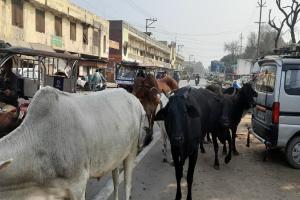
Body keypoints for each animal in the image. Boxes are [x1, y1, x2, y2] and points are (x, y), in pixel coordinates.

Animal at [0, 87, 145, 200]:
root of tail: (134, 99)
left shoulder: (78, 186)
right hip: (116, 157)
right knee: (115, 179)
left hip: (131, 152)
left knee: (127, 184)